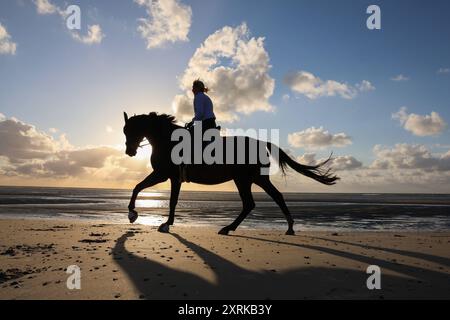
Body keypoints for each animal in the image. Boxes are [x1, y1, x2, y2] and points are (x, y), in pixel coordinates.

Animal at [123, 112, 338, 235]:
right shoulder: (164, 175)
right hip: (253, 179)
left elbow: (168, 199)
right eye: (124, 130)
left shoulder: (168, 176)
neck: (167, 140)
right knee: (272, 197)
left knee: (254, 202)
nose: (129, 152)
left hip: (245, 179)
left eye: (130, 130)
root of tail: (261, 143)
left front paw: (159, 222)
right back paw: (288, 227)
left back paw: (229, 228)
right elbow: (138, 187)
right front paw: (133, 214)